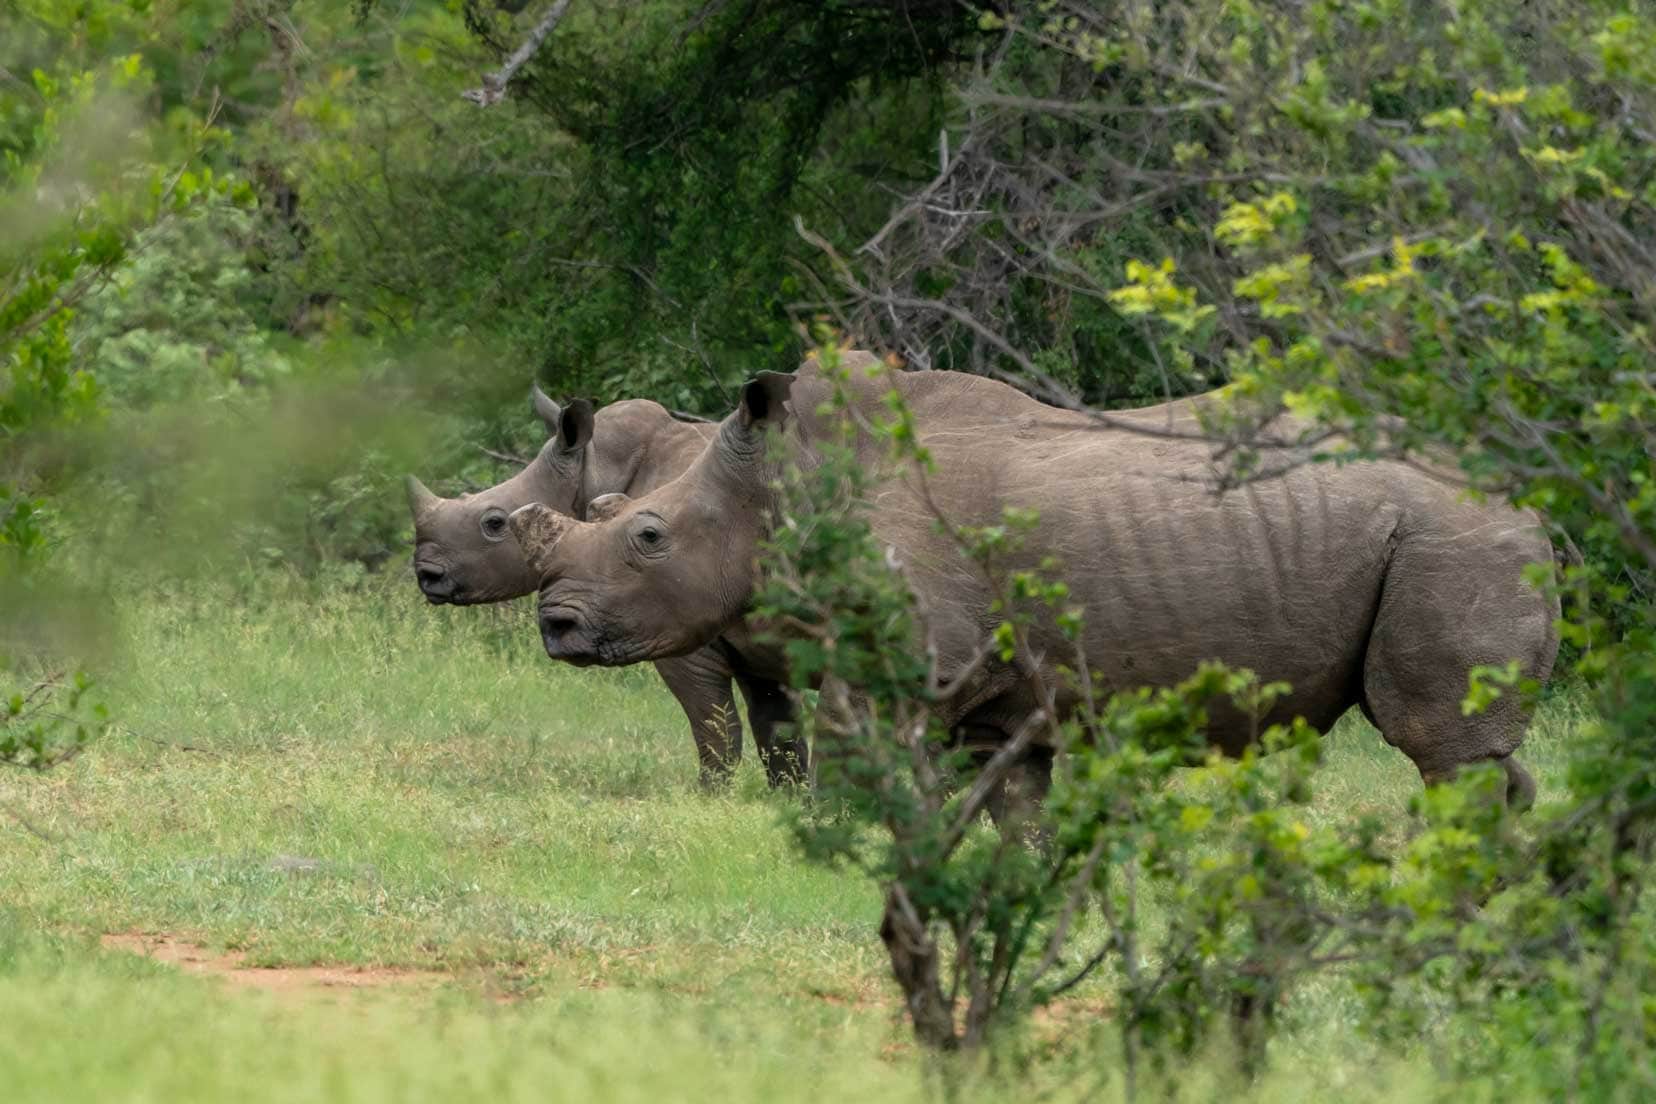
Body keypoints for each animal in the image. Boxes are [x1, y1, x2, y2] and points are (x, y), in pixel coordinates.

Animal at [404, 384, 811, 791]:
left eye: (494, 523)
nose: (426, 574)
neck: (594, 468)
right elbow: (778, 734)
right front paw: (791, 799)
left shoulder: (679, 620)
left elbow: (716, 729)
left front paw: (711, 795)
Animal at [510, 360, 1556, 804]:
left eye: (647, 535)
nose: (555, 626)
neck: (792, 487)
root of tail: (1534, 504)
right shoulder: (994, 698)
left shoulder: (905, 678)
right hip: (1448, 534)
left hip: (1453, 539)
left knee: (1441, 749)